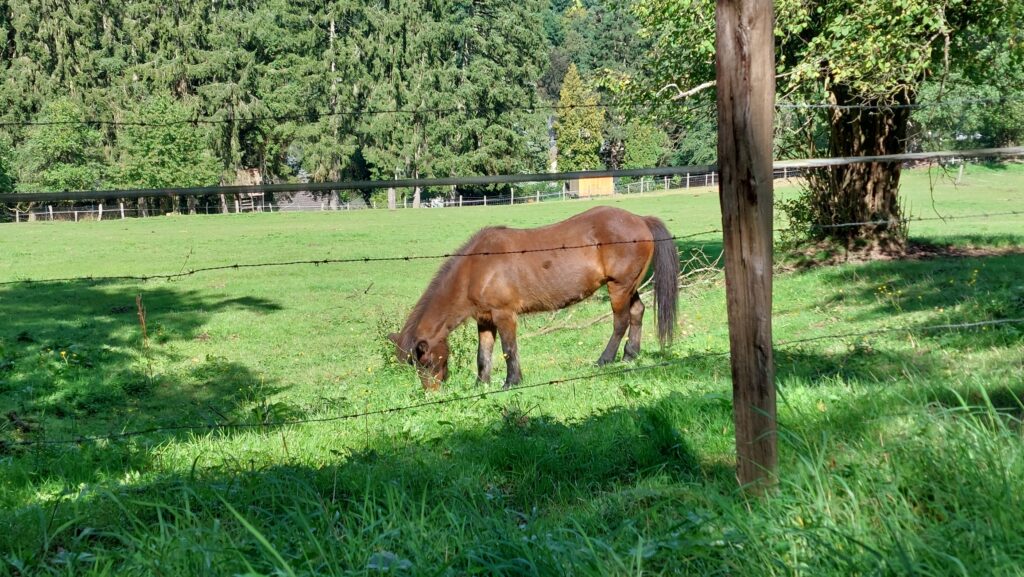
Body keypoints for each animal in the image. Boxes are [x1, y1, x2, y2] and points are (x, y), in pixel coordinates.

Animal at [389, 204, 679, 391]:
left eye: (425, 362)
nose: (431, 393)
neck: (477, 268)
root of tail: (640, 219)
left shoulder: (505, 315)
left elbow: (508, 349)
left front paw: (511, 381)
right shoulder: (484, 320)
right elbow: (483, 354)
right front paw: (480, 384)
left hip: (618, 288)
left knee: (620, 322)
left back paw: (604, 360)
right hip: (629, 286)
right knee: (637, 312)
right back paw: (630, 356)